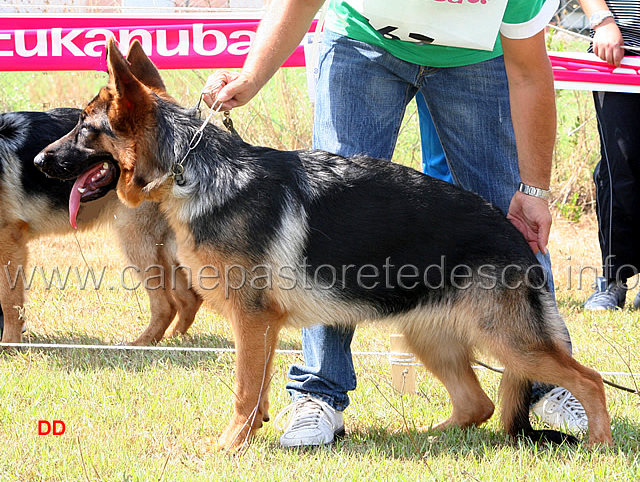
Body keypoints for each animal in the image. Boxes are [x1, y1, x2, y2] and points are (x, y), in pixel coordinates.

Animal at [0, 106, 201, 346]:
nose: (36, 162)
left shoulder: (9, 243)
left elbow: (9, 301)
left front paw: (9, 344)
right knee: (188, 299)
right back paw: (172, 339)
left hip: (135, 241)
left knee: (166, 305)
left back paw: (140, 344)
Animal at [33, 39, 608, 450]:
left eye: (84, 128)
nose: (37, 160)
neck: (191, 169)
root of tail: (514, 234)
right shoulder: (260, 327)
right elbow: (257, 390)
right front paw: (249, 438)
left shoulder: (252, 320)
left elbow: (244, 389)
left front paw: (226, 448)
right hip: (429, 338)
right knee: (477, 406)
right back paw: (425, 438)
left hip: (506, 341)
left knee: (592, 379)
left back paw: (598, 445)